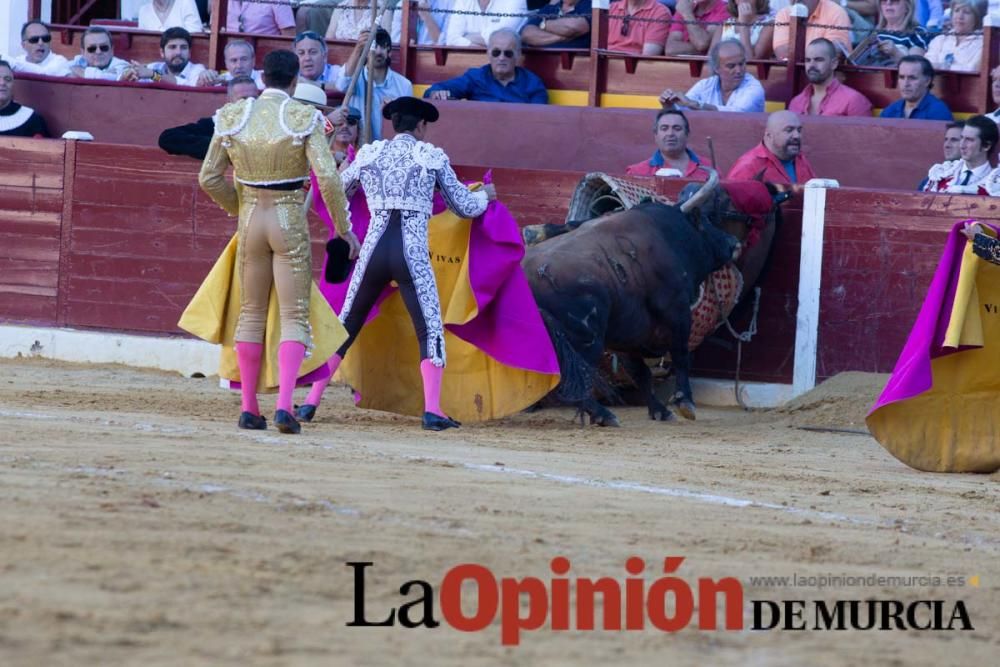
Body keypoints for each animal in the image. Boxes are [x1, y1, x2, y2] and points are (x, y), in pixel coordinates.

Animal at [528, 170, 784, 426]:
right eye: (704, 221)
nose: (732, 243)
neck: (669, 234)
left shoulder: (625, 333)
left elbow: (640, 373)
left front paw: (660, 410)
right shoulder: (677, 311)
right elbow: (680, 355)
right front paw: (685, 402)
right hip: (585, 341)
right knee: (571, 380)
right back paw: (603, 414)